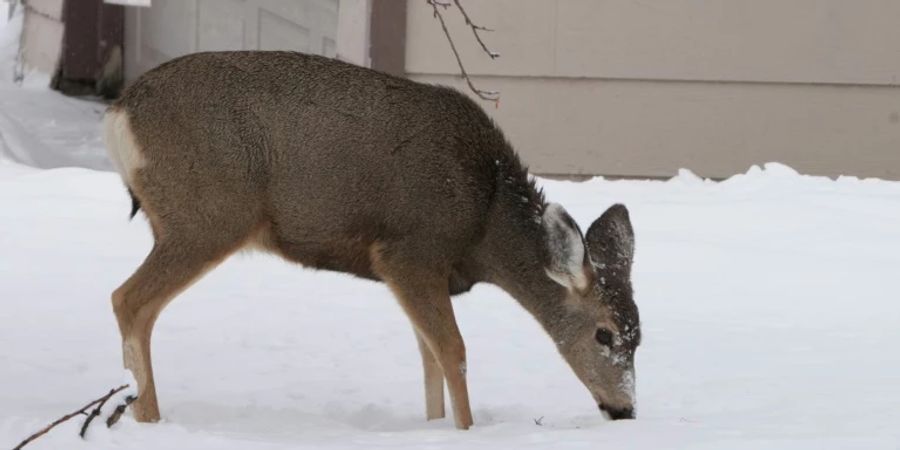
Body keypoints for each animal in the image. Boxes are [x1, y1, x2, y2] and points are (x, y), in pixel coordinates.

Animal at [103, 51, 640, 430]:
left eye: (640, 336)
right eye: (605, 333)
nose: (626, 410)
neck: (485, 219)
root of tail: (119, 112)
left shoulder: (419, 273)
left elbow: (428, 358)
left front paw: (433, 426)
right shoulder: (408, 251)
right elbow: (453, 352)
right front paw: (466, 431)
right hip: (207, 215)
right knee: (128, 298)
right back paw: (149, 417)